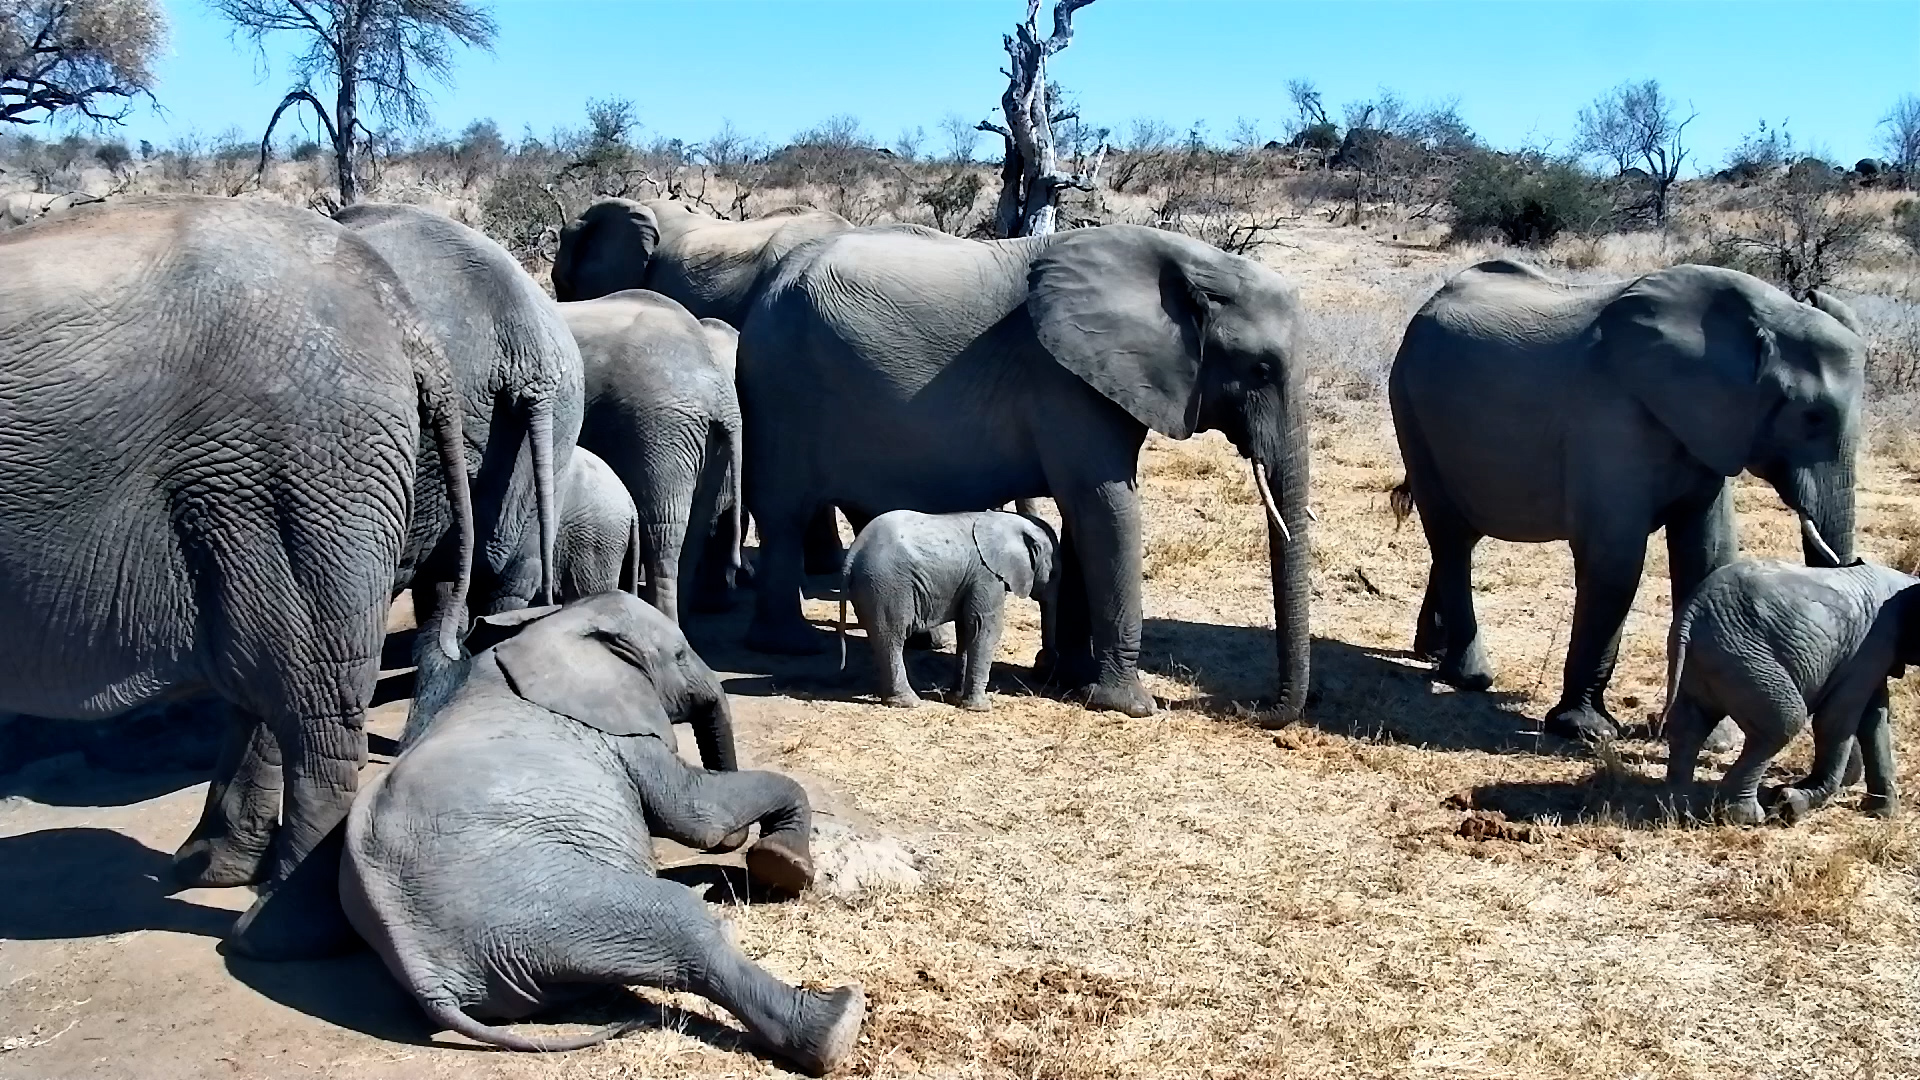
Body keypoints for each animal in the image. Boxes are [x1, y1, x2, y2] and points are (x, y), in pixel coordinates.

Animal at [0, 196, 474, 924]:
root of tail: (404, 319)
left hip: (293, 474)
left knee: (308, 699)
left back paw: (266, 925)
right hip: (273, 490)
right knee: (264, 676)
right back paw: (210, 867)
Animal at [343, 593, 865, 1073]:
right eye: (680, 655)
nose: (738, 847)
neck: (552, 629)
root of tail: (430, 983)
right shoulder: (617, 732)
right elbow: (696, 814)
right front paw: (783, 866)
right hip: (545, 903)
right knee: (680, 925)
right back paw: (839, 1020)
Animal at [837, 510, 1058, 711]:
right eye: (1055, 573)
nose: (1042, 667)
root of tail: (853, 553)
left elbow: (967, 630)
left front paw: (956, 698)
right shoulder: (986, 576)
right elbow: (986, 628)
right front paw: (980, 708)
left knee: (882, 639)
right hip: (887, 586)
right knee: (893, 638)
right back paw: (909, 703)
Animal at [1390, 260, 1866, 741]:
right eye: (1812, 417)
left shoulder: (1706, 433)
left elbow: (1707, 558)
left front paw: (1713, 739)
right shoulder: (1610, 417)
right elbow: (1615, 562)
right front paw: (1586, 731)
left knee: (1459, 538)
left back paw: (1431, 653)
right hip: (1409, 406)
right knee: (1450, 535)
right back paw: (1469, 677)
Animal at [1664, 559, 1913, 824]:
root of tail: (1691, 613)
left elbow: (1874, 719)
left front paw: (1881, 812)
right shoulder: (1871, 645)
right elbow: (1836, 720)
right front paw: (1791, 803)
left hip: (1707, 661)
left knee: (1688, 726)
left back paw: (1679, 809)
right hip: (1742, 659)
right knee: (1783, 723)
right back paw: (1748, 818)